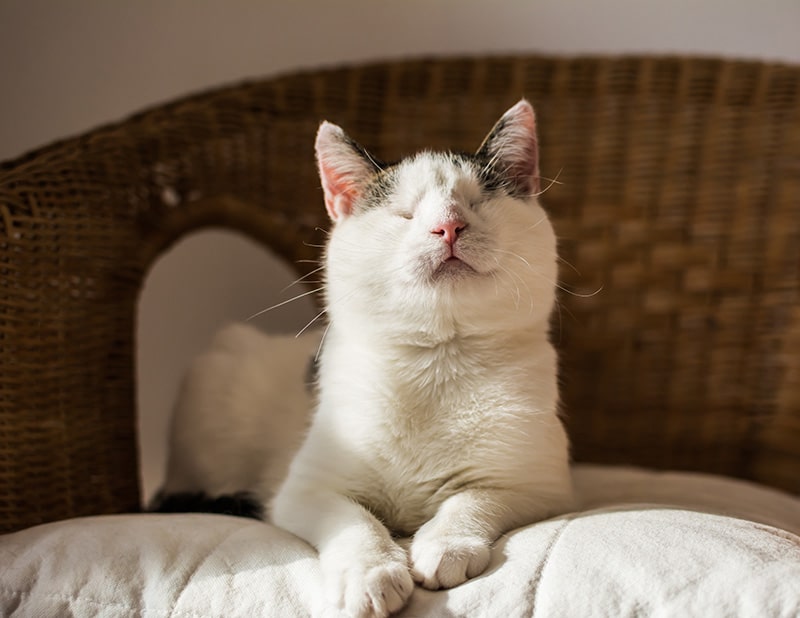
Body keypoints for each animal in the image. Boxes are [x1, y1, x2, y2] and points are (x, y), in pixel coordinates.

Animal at [153, 101, 572, 616]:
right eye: (404, 214)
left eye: (477, 204)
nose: (449, 226)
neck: (436, 362)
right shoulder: (304, 490)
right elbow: (353, 521)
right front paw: (372, 572)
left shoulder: (540, 485)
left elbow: (474, 497)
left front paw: (446, 544)